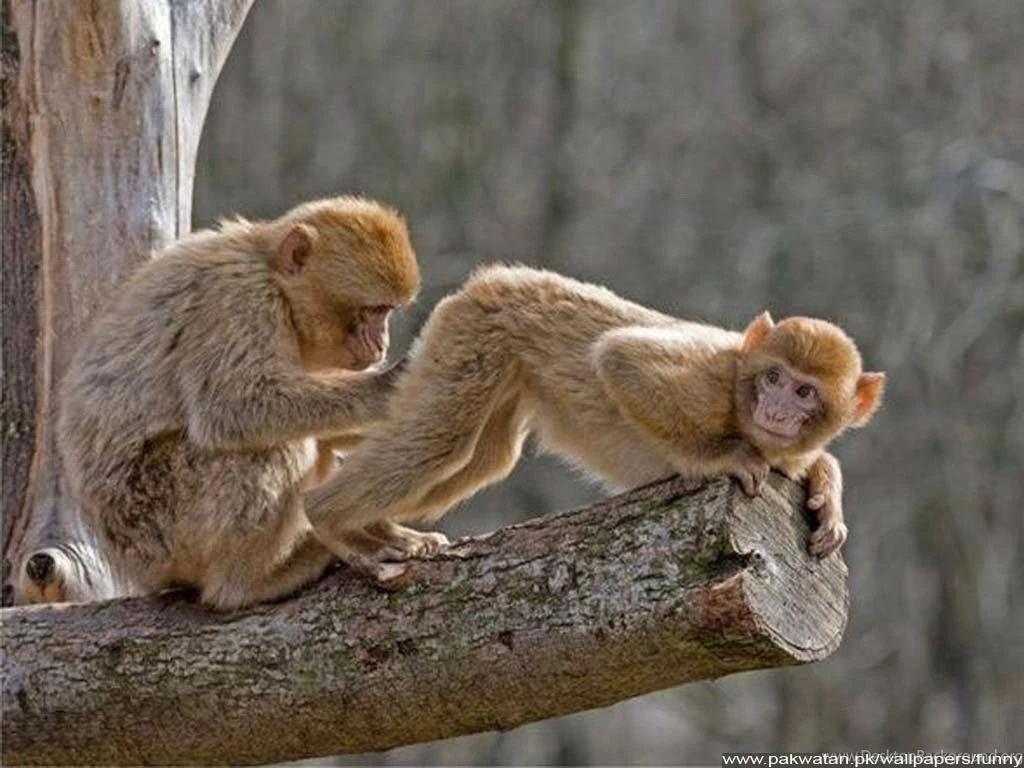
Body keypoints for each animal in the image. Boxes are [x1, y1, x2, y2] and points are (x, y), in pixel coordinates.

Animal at [56, 195, 422, 610]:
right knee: (272, 447)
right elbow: (233, 408)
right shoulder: (239, 299)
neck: (273, 277)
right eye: (373, 310)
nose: (381, 344)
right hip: (158, 521)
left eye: (386, 312)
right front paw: (386, 387)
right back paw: (249, 582)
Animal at [303, 265, 885, 577]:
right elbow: (619, 359)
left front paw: (827, 493)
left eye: (805, 391)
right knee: (440, 440)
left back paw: (374, 527)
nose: (778, 410)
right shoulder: (711, 378)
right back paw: (327, 516)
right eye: (774, 379)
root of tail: (492, 278)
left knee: (483, 458)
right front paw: (720, 459)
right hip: (473, 336)